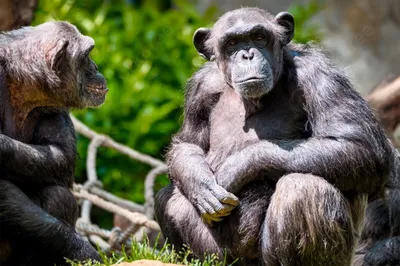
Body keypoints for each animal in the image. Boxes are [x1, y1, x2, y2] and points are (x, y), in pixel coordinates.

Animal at [0, 21, 108, 264]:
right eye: (87, 55)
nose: (96, 67)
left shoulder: (54, 100)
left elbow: (61, 154)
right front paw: (81, 249)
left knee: (60, 196)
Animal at [155, 7, 396, 264]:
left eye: (259, 37)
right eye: (232, 43)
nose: (247, 55)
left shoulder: (319, 74)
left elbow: (359, 144)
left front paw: (235, 168)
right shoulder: (200, 89)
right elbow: (188, 143)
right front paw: (201, 184)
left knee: (303, 189)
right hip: (220, 256)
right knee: (167, 196)